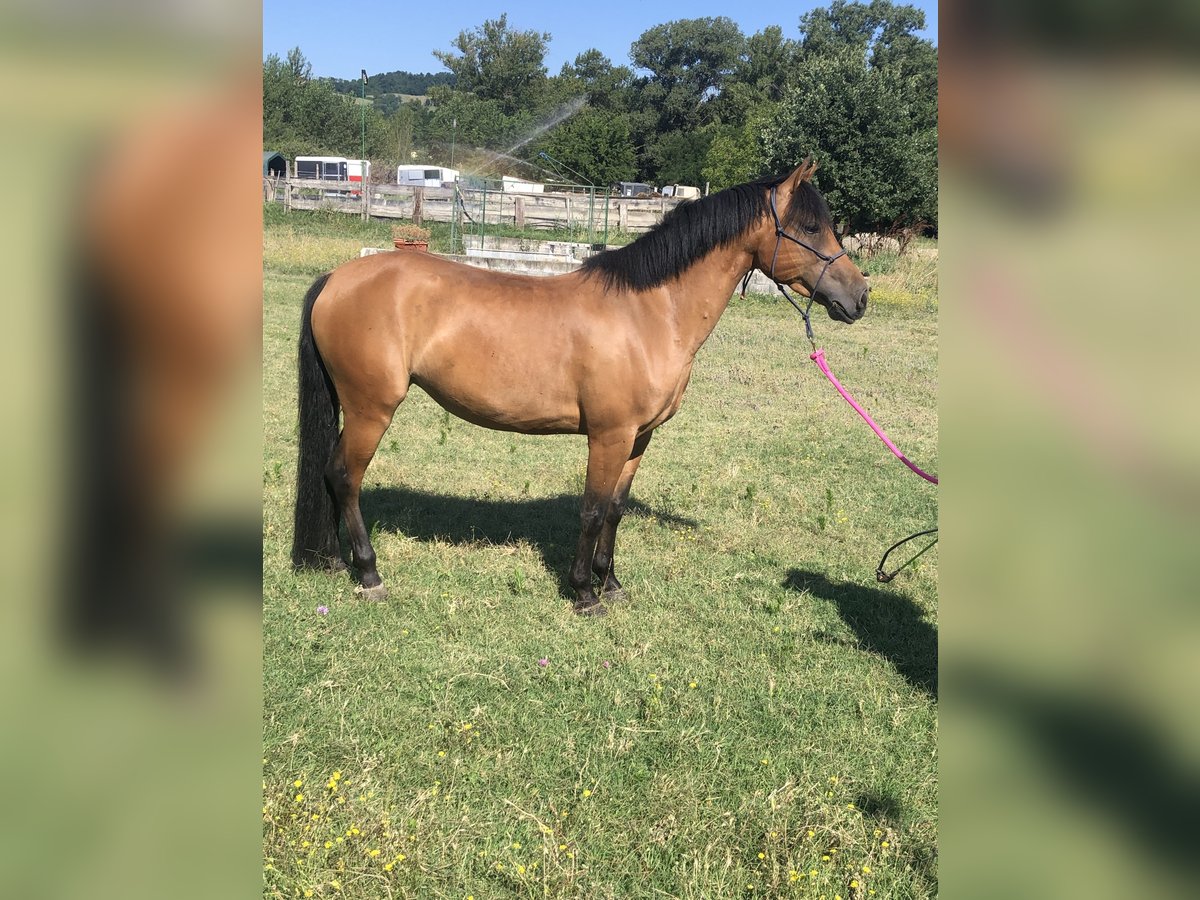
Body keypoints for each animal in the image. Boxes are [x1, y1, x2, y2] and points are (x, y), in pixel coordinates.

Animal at [295, 160, 868, 614]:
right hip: (372, 409)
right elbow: (591, 509)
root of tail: (336, 279)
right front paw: (584, 593)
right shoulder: (608, 435)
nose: (860, 297)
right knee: (344, 477)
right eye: (811, 226)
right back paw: (369, 573)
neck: (648, 312)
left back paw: (333, 560)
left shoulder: (638, 438)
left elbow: (614, 510)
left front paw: (610, 582)